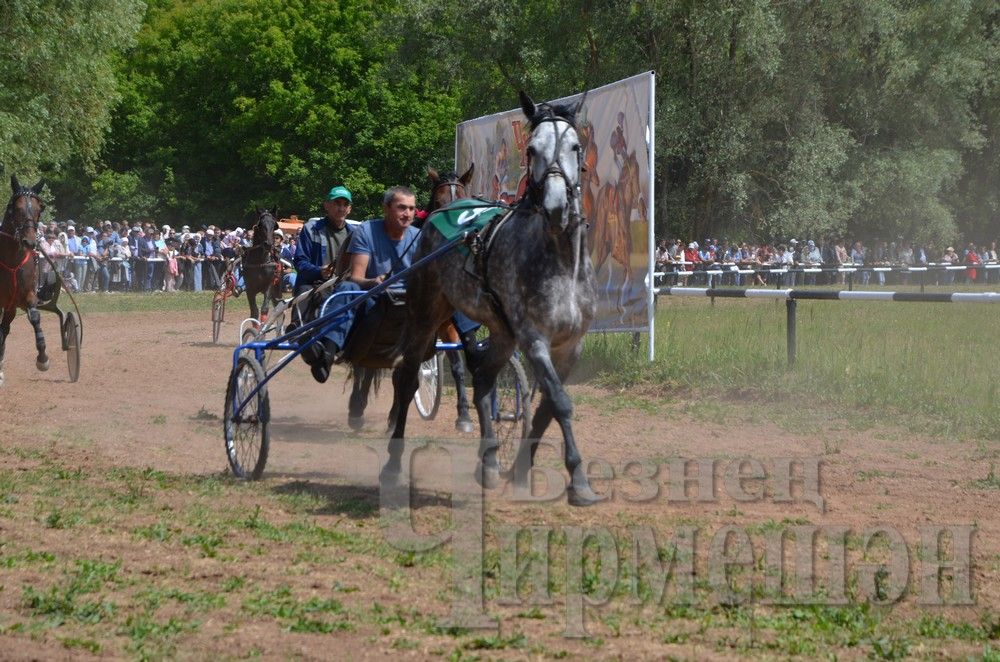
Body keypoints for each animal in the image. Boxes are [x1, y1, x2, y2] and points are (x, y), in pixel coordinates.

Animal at [386, 92, 596, 508]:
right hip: (426, 314)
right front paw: (578, 479)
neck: (561, 259)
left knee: (483, 376)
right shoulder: (534, 338)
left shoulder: (570, 346)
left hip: (501, 332)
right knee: (407, 376)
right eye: (531, 149)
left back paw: (489, 462)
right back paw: (394, 463)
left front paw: (520, 470)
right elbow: (560, 401)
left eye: (575, 146)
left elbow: (546, 407)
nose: (555, 206)